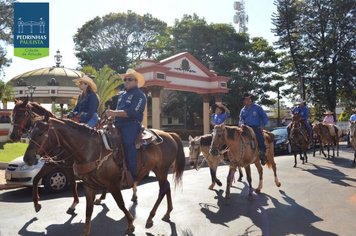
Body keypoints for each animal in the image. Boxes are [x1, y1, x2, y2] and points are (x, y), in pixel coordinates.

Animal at [23, 117, 184, 234]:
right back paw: (167, 213)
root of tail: (170, 134)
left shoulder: (113, 184)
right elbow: (88, 210)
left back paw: (150, 218)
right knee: (166, 188)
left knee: (162, 190)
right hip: (159, 171)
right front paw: (85, 230)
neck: (90, 150)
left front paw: (131, 224)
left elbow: (121, 204)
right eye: (30, 133)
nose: (27, 158)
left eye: (40, 134)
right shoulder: (88, 185)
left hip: (161, 170)